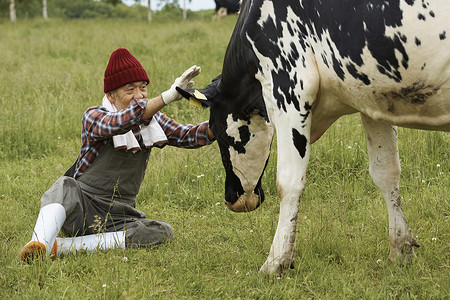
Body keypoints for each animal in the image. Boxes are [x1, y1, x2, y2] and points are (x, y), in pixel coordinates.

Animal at [178, 0, 448, 276]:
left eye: (216, 131)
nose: (231, 199)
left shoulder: (289, 86)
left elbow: (288, 182)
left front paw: (276, 262)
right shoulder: (372, 98)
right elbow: (386, 172)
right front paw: (401, 249)